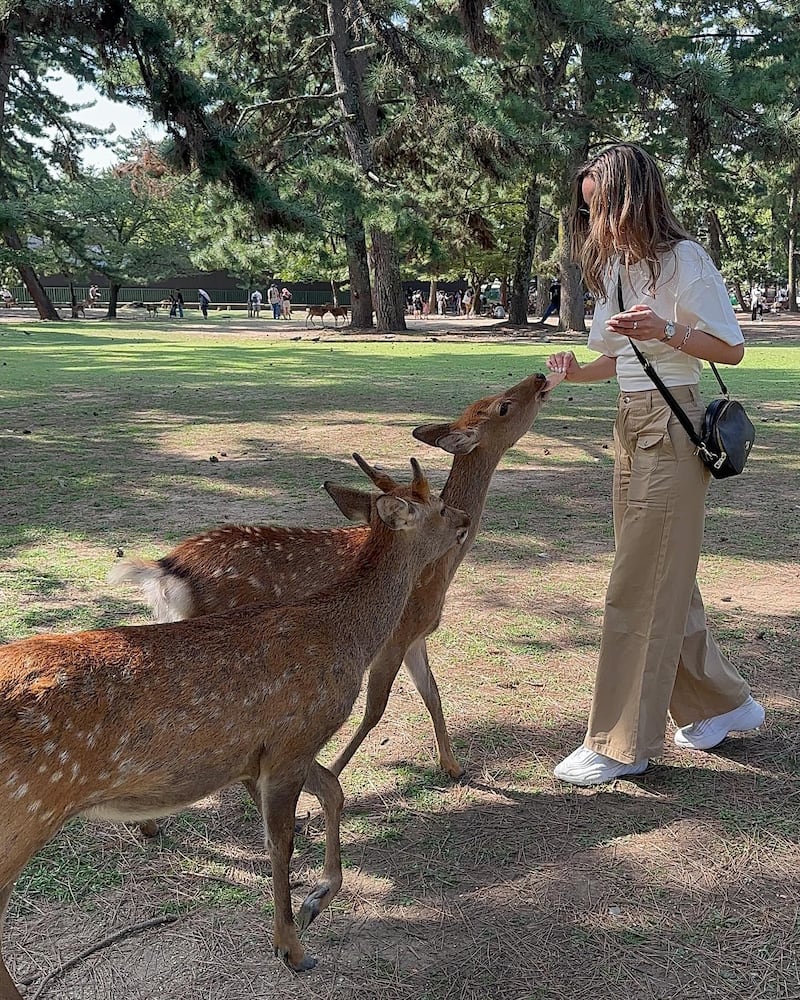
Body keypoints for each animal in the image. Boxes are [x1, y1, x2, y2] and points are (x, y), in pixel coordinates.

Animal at [0, 460, 468, 992]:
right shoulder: (293, 738)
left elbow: (333, 790)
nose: (464, 520)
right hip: (24, 815)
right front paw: (291, 947)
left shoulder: (267, 751)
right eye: (437, 505)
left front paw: (317, 899)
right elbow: (280, 843)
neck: (344, 635)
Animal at [111, 372, 564, 784]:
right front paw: (335, 770)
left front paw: (451, 766)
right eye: (504, 405)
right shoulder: (394, 637)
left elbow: (433, 694)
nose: (539, 374)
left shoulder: (416, 636)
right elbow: (376, 711)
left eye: (492, 398)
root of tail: (168, 568)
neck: (439, 573)